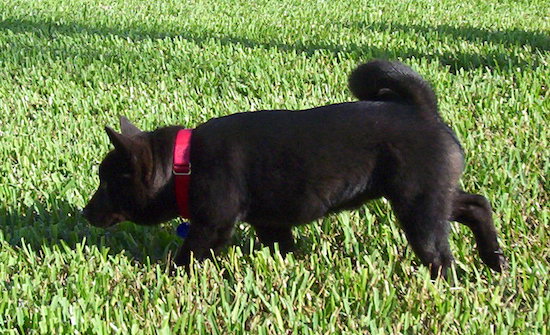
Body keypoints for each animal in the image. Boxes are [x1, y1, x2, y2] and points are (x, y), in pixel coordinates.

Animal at [83, 59, 508, 278]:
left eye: (108, 183)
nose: (86, 212)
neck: (182, 164)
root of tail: (421, 109)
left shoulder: (212, 226)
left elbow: (187, 255)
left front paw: (165, 276)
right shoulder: (271, 224)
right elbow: (283, 247)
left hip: (418, 209)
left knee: (441, 253)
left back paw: (451, 280)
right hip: (432, 195)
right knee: (476, 205)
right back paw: (495, 260)